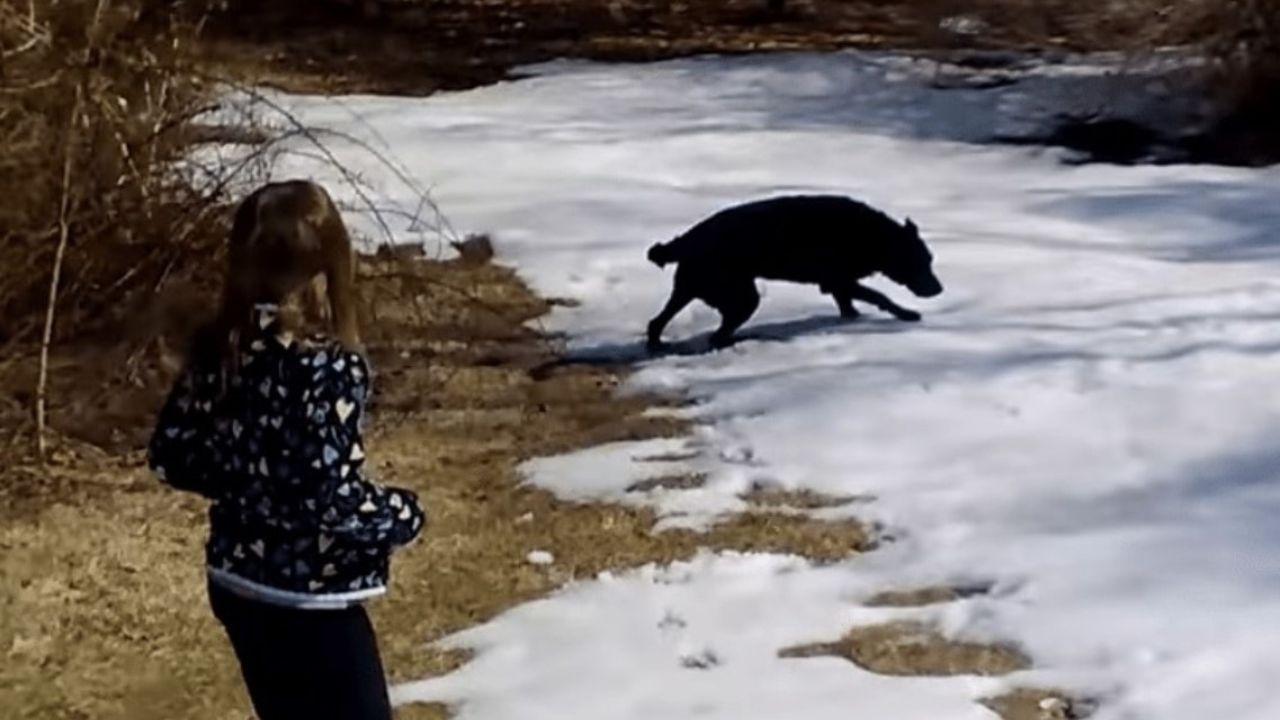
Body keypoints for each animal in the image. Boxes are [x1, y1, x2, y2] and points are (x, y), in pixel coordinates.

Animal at [650, 194, 942, 348]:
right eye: (920, 262)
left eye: (930, 259)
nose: (939, 289)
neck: (874, 236)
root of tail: (686, 240)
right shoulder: (839, 280)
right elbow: (879, 296)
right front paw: (906, 314)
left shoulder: (837, 283)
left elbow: (848, 303)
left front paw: (852, 319)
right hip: (739, 295)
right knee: (717, 334)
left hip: (690, 287)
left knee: (657, 322)